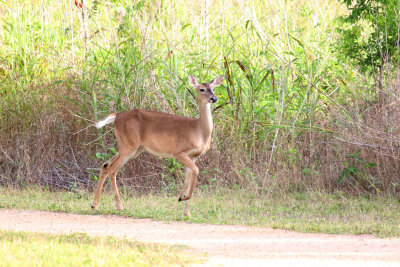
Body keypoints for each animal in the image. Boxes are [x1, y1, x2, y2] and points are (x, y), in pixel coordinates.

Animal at [91, 75, 225, 218]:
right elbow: (196, 170)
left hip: (133, 148)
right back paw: (118, 207)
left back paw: (96, 205)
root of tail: (116, 116)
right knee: (112, 169)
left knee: (106, 165)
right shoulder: (178, 151)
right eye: (202, 89)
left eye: (213, 88)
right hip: (129, 146)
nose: (214, 98)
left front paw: (187, 211)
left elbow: (188, 178)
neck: (198, 130)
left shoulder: (193, 156)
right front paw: (182, 198)